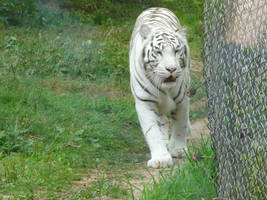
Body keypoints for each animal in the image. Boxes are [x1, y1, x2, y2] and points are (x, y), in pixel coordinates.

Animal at [129, 7, 191, 168]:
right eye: (158, 52)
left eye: (176, 51)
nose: (171, 69)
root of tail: (155, 7)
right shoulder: (145, 103)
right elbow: (152, 131)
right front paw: (161, 159)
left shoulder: (182, 100)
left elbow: (180, 125)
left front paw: (178, 150)